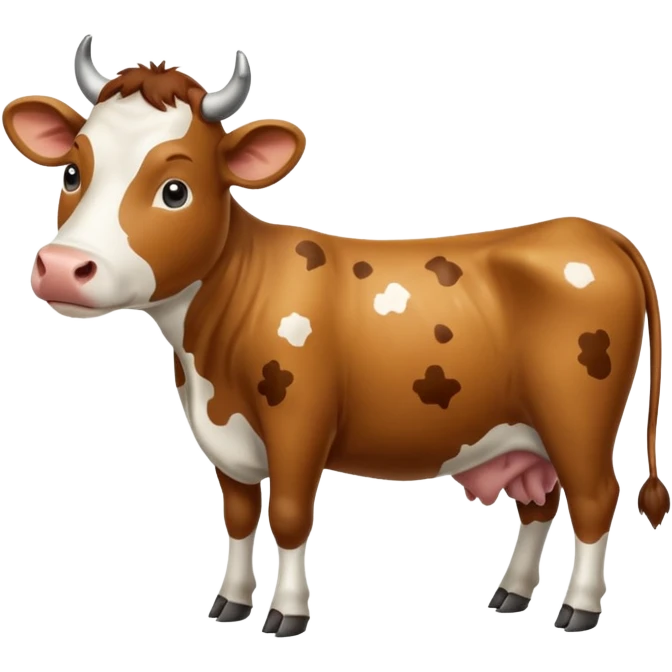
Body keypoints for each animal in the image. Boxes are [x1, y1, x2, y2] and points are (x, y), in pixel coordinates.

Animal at [4, 34, 667, 638]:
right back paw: (510, 594)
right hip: (527, 436)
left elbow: (289, 516)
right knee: (538, 503)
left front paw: (286, 614)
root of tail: (592, 231)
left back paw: (578, 609)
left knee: (595, 499)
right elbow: (240, 516)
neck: (205, 363)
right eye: (72, 173)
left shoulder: (300, 423)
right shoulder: (226, 440)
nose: (62, 267)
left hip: (577, 418)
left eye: (175, 190)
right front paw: (229, 603)